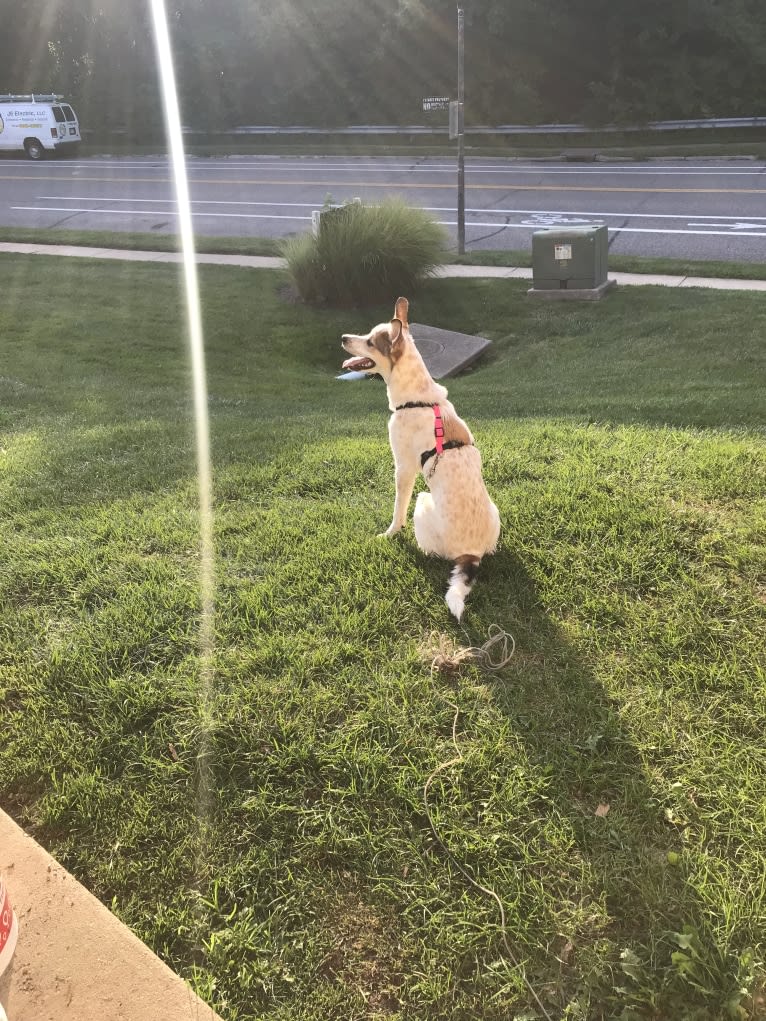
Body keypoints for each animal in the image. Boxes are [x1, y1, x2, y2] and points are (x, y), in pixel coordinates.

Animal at [343, 292, 500, 616]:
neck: (417, 398)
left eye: (369, 342)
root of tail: (471, 554)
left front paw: (390, 533)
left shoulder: (403, 468)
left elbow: (396, 510)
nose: (342, 338)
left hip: (422, 501)